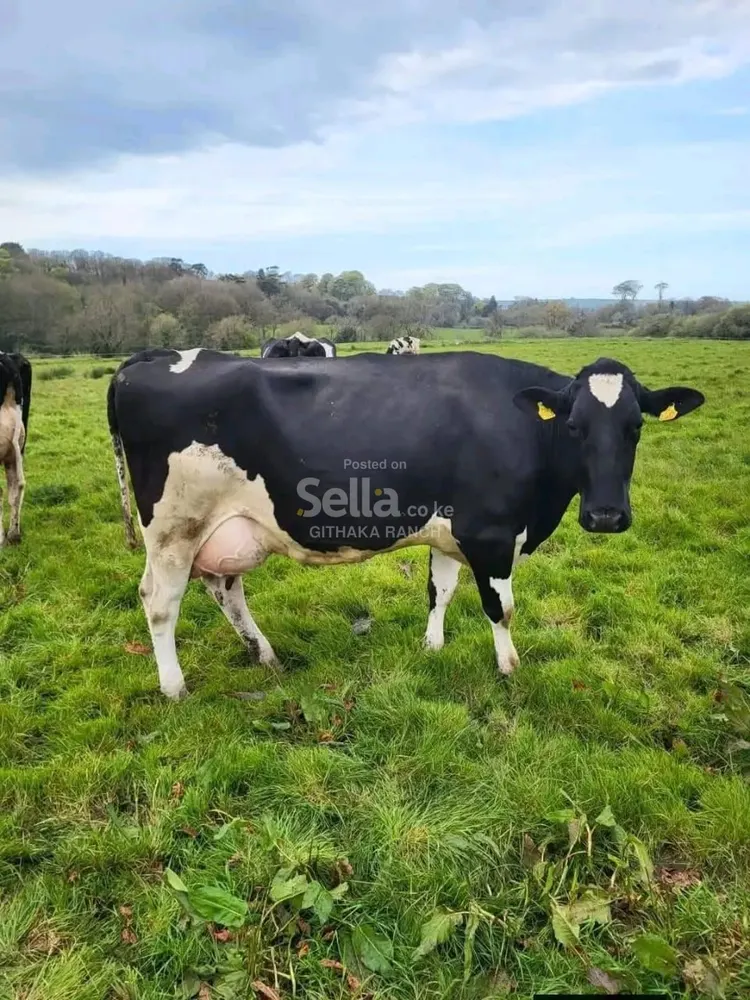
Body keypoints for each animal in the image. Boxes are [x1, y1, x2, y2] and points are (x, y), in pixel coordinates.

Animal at [108, 348, 704, 700]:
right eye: (575, 426)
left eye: (634, 427)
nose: (606, 515)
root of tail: (151, 357)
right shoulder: (491, 534)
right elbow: (501, 608)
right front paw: (510, 669)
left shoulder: (451, 532)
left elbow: (439, 591)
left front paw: (432, 648)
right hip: (173, 527)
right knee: (159, 602)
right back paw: (174, 687)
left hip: (222, 528)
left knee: (225, 587)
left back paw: (266, 656)